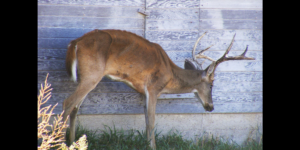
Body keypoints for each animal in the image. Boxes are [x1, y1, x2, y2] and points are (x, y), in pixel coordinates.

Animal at [62, 29, 254, 149]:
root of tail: (75, 43)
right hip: (92, 73)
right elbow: (152, 121)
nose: (211, 107)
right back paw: (60, 141)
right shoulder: (154, 87)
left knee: (75, 108)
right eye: (212, 84)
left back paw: (72, 142)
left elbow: (146, 121)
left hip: (87, 76)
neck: (169, 74)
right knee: (67, 103)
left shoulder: (143, 92)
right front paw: (152, 147)